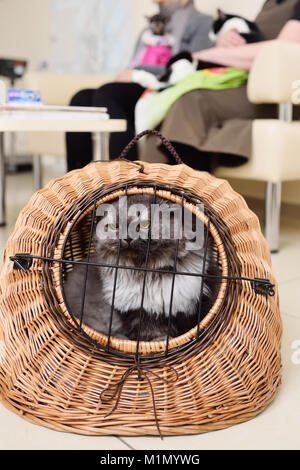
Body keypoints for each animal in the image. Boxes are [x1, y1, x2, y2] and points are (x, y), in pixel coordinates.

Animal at [63, 194, 220, 342]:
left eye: (145, 224)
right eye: (116, 227)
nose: (127, 238)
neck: (147, 273)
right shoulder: (137, 313)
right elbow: (153, 335)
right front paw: (162, 342)